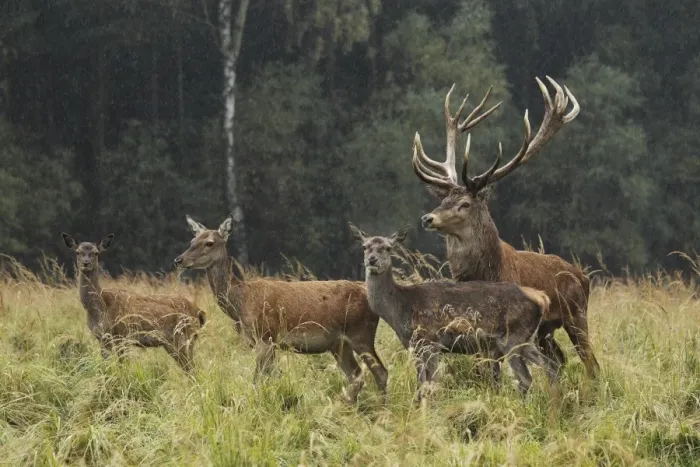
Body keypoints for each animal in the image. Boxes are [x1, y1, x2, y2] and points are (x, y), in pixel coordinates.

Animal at [61, 233, 206, 374]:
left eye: (96, 253)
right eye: (78, 252)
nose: (86, 263)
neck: (101, 308)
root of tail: (199, 312)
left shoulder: (122, 334)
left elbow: (122, 367)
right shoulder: (101, 338)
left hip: (183, 337)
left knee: (193, 369)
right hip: (174, 342)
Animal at [173, 214, 388, 404]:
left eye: (209, 242)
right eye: (192, 239)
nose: (179, 260)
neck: (241, 302)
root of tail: (367, 292)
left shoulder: (266, 335)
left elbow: (258, 380)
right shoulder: (266, 341)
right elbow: (270, 378)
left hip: (361, 333)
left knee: (381, 372)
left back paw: (382, 408)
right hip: (339, 344)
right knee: (356, 376)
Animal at [349, 223, 559, 400]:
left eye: (387, 248)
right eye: (365, 247)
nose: (372, 260)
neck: (401, 308)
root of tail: (542, 298)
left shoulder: (430, 341)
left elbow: (432, 383)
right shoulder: (414, 346)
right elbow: (421, 384)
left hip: (512, 338)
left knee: (526, 377)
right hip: (526, 339)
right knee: (552, 365)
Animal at [412, 76, 600, 379]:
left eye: (465, 203)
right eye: (443, 200)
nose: (428, 218)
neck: (488, 272)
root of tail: (582, 275)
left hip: (577, 314)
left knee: (590, 362)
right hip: (544, 331)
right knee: (559, 359)